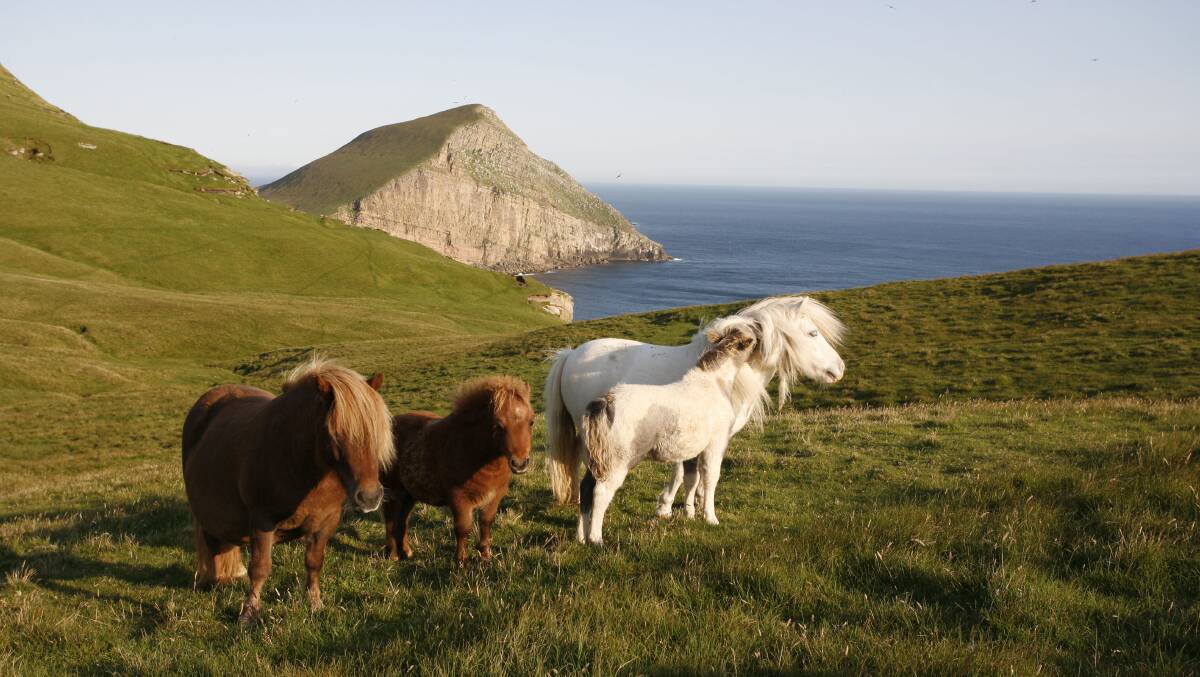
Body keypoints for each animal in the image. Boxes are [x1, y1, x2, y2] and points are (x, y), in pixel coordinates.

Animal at [182, 357, 394, 625]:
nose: (370, 497)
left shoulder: (327, 521)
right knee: (211, 543)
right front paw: (249, 613)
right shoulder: (262, 521)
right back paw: (212, 580)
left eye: (376, 432)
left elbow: (314, 562)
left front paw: (315, 604)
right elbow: (260, 568)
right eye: (335, 434)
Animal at [381, 376, 535, 566]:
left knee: (403, 520)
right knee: (390, 519)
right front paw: (460, 561)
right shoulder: (459, 499)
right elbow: (463, 528)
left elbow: (486, 523)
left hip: (409, 493)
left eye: (531, 421)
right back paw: (393, 554)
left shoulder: (494, 497)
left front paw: (485, 556)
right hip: (393, 490)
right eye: (498, 425)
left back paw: (407, 552)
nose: (520, 463)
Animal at [545, 295, 845, 520]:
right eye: (812, 333)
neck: (724, 374)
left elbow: (691, 474)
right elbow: (687, 473)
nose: (839, 369)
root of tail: (570, 354)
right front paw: (671, 508)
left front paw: (688, 506)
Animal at [577, 324, 758, 545]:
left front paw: (689, 514)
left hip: (595, 458)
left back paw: (581, 537)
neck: (714, 384)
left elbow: (691, 478)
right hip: (616, 461)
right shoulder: (715, 444)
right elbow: (711, 478)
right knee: (600, 493)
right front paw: (711, 518)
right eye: (752, 338)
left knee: (585, 488)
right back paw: (596, 539)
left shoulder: (692, 450)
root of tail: (605, 402)